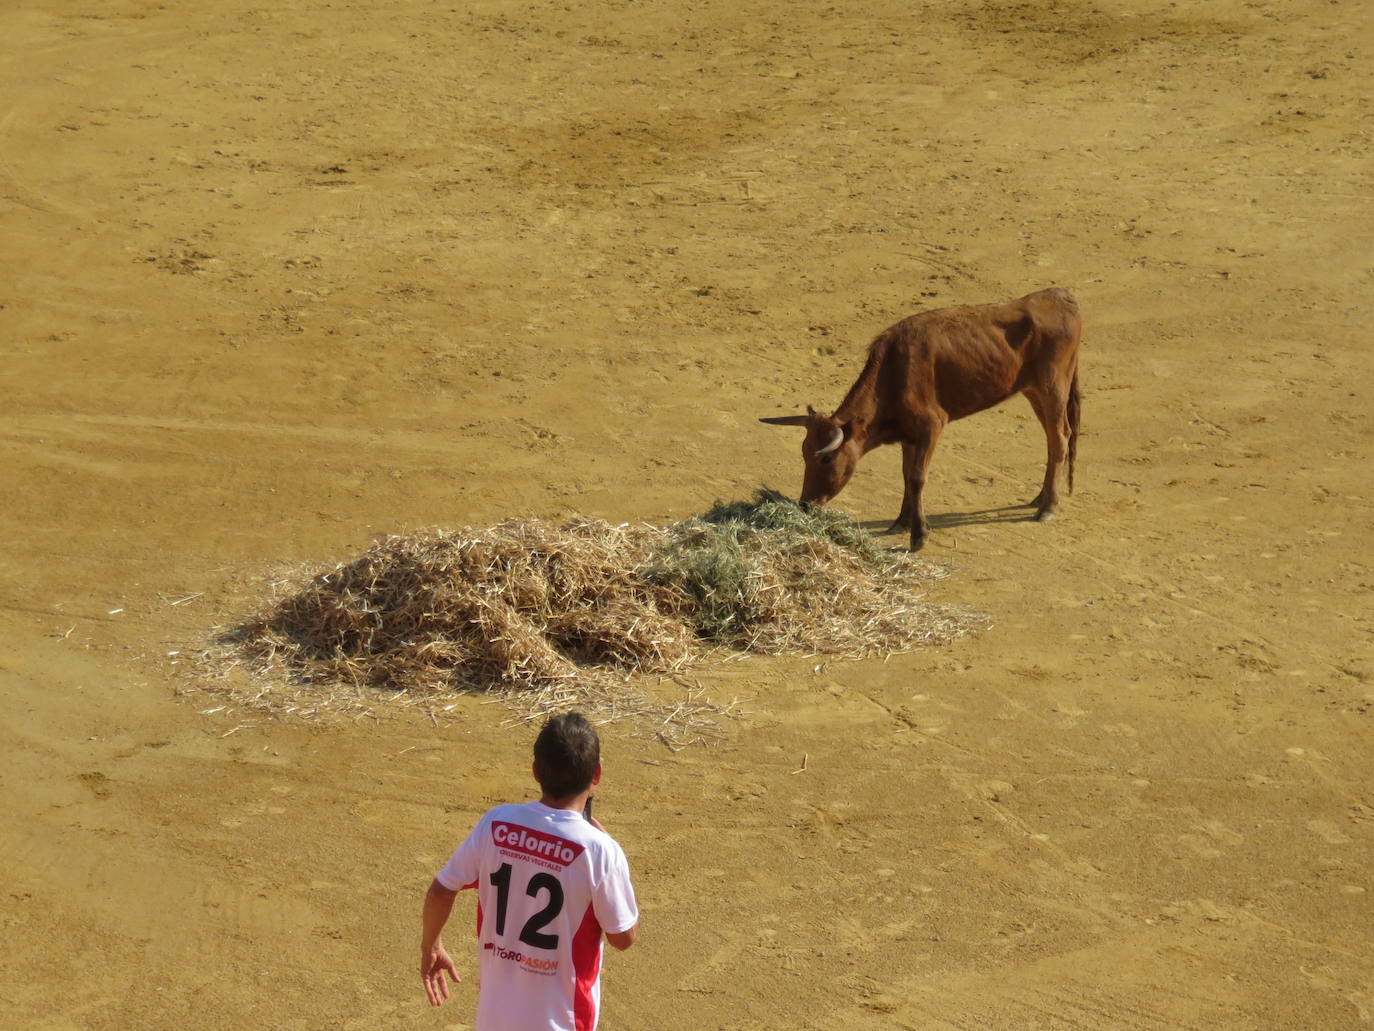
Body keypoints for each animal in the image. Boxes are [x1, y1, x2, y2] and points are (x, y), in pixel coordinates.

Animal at [758, 287, 1077, 552]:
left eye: (825, 459)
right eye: (804, 456)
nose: (804, 504)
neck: (893, 375)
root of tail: (1062, 295)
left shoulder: (931, 427)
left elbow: (917, 477)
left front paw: (919, 534)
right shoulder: (908, 436)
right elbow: (905, 475)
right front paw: (902, 520)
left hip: (1052, 388)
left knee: (1061, 438)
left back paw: (1048, 506)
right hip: (1033, 392)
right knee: (1053, 440)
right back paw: (1041, 497)